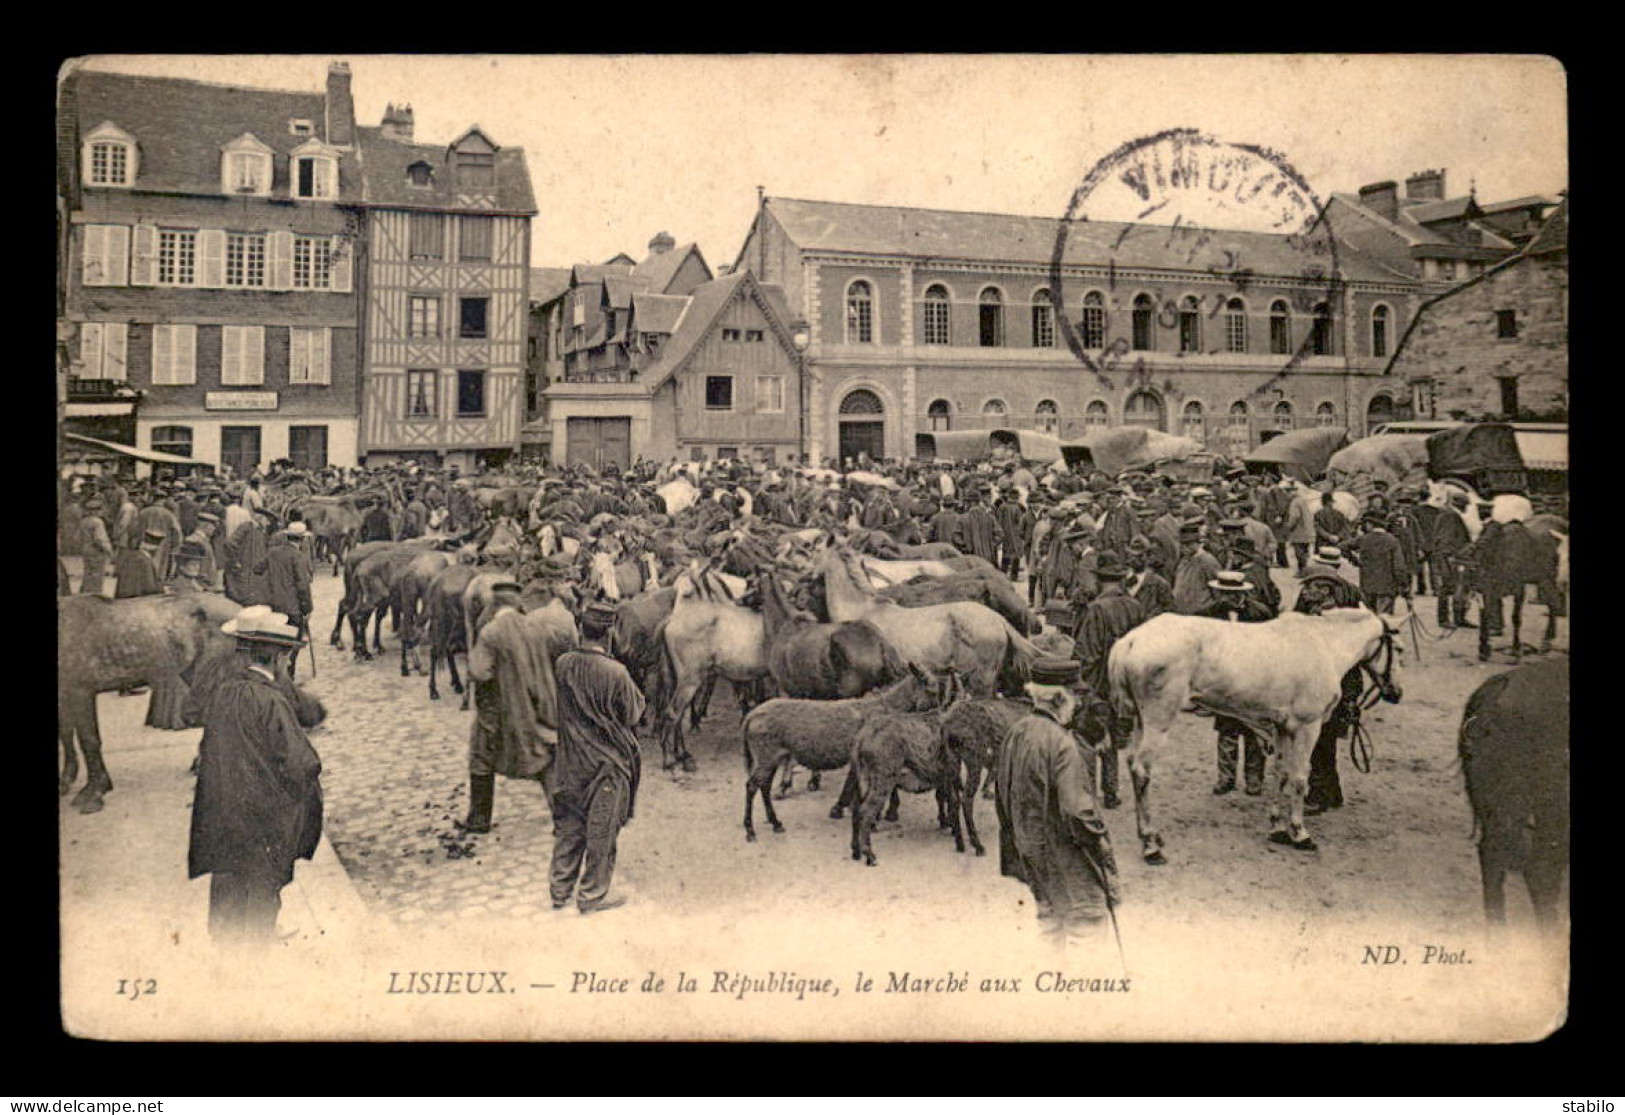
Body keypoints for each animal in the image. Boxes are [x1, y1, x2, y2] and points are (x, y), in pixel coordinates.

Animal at [1111, 611, 1404, 864]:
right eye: (1400, 650)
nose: (1397, 693)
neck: (1322, 645)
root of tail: (1131, 640)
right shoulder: (1307, 727)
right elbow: (1299, 778)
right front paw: (1300, 833)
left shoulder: (1283, 727)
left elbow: (1281, 774)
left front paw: (1277, 828)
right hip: (1157, 722)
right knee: (1141, 770)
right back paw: (1151, 846)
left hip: (1141, 721)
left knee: (1131, 763)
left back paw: (1149, 835)